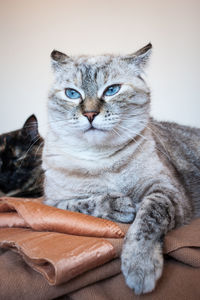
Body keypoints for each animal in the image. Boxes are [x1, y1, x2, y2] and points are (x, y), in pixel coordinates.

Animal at [43, 43, 200, 294]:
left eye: (112, 90)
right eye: (72, 94)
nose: (89, 114)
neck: (101, 158)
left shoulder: (166, 191)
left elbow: (146, 220)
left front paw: (140, 268)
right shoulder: (52, 203)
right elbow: (85, 204)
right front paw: (121, 205)